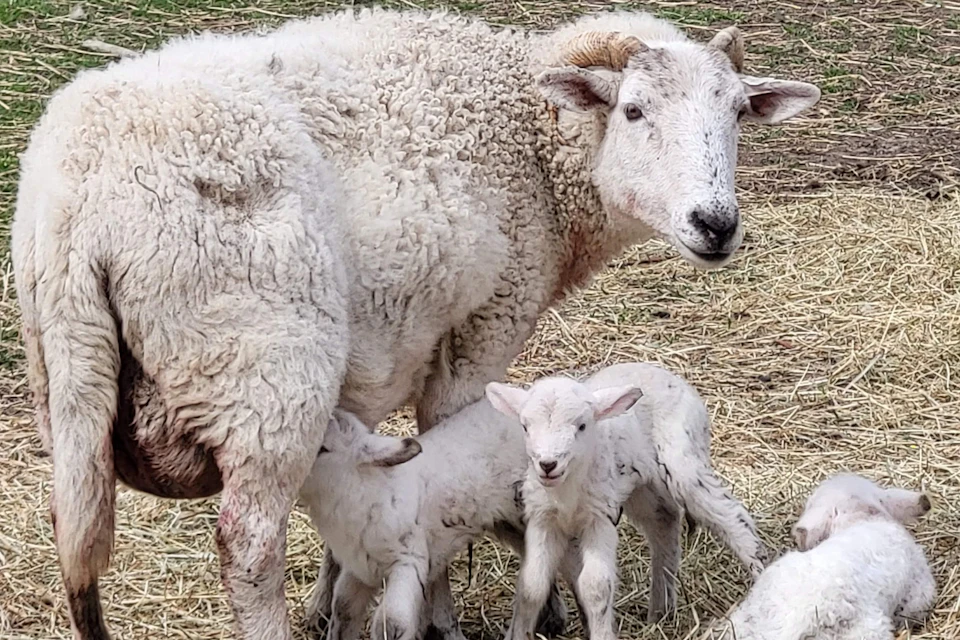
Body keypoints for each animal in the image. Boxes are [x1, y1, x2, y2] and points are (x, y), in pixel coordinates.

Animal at [486, 362, 767, 640]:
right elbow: (532, 586)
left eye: (582, 426)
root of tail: (667, 373)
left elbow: (595, 587)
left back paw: (762, 574)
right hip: (644, 486)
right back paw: (660, 612)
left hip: (683, 458)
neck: (567, 494)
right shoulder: (543, 520)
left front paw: (601, 634)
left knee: (733, 518)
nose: (547, 464)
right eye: (525, 427)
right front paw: (519, 632)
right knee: (664, 519)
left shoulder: (599, 517)